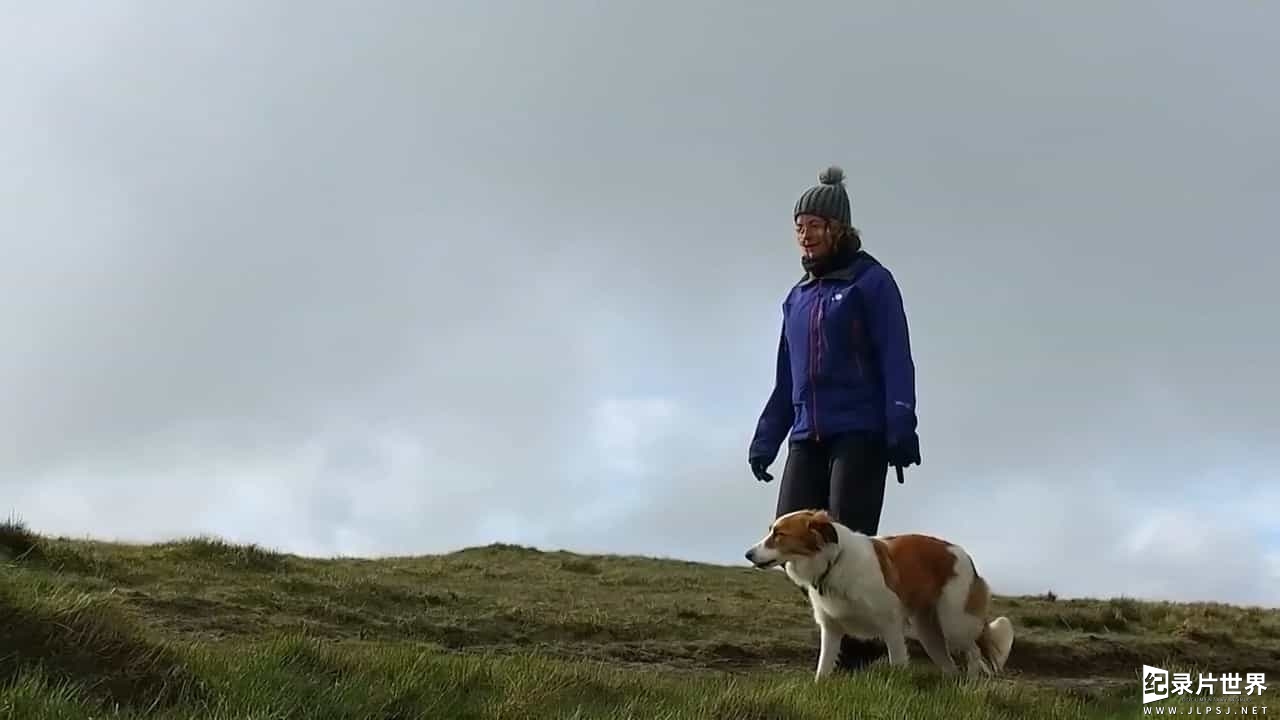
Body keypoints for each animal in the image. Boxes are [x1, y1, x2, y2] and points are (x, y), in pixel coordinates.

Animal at [747, 507, 1013, 681]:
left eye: (779, 534)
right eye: (771, 531)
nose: (747, 554)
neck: (833, 560)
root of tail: (965, 555)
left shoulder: (891, 624)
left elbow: (897, 662)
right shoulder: (831, 627)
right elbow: (823, 669)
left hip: (954, 622)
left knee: (974, 651)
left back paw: (971, 684)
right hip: (930, 633)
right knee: (949, 664)